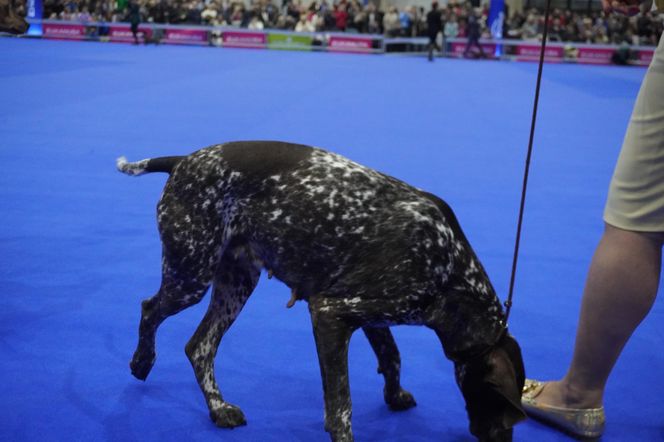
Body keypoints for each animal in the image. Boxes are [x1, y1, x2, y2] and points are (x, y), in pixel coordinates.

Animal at [116, 142, 528, 442]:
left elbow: (391, 357)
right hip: (191, 277)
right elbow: (341, 404)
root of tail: (184, 161)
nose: (501, 441)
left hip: (235, 284)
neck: (450, 267)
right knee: (150, 309)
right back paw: (142, 362)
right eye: (505, 408)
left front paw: (394, 396)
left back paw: (219, 409)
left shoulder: (371, 314)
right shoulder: (330, 313)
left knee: (199, 346)